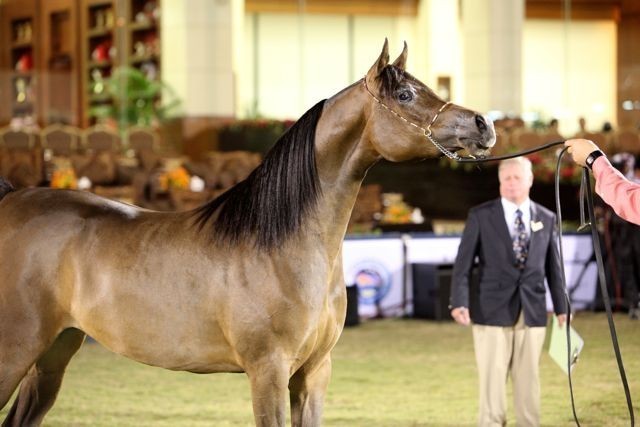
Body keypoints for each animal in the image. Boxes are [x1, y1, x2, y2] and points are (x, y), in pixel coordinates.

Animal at [0, 40, 495, 427]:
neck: (282, 245)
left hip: (53, 353)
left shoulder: (314, 373)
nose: (483, 124)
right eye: (407, 94)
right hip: (16, 352)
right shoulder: (268, 372)